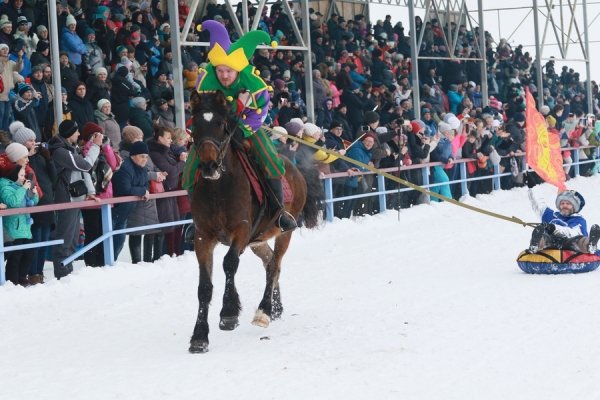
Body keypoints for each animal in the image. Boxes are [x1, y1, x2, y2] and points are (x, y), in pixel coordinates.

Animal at [189, 90, 322, 354]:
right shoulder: (203, 236)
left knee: (274, 266)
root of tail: (294, 169)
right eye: (195, 126)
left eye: (221, 125)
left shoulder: (241, 229)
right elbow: (204, 287)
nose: (208, 166)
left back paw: (264, 311)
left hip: (283, 232)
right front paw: (199, 337)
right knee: (269, 261)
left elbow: (230, 263)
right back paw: (276, 307)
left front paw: (229, 313)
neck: (219, 188)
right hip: (258, 239)